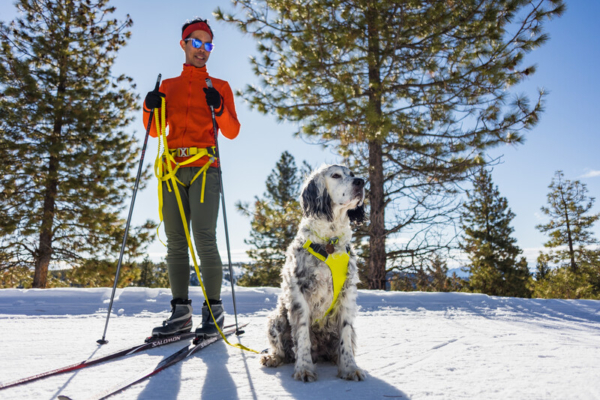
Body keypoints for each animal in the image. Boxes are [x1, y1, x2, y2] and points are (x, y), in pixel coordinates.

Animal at [262, 165, 366, 382]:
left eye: (352, 174)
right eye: (336, 175)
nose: (361, 182)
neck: (330, 242)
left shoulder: (347, 293)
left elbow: (345, 336)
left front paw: (349, 368)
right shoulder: (299, 292)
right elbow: (302, 335)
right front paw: (304, 368)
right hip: (276, 319)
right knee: (283, 350)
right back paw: (272, 358)